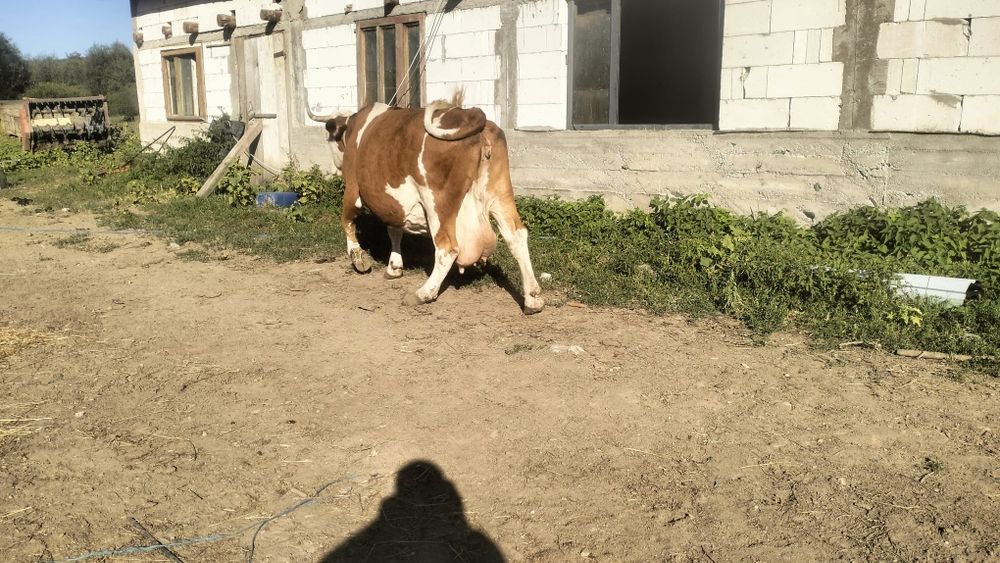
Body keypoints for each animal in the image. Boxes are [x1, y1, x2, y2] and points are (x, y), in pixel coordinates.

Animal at [307, 92, 544, 314]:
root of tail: (474, 117)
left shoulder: (352, 189)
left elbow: (347, 221)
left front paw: (358, 259)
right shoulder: (396, 203)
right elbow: (395, 230)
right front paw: (394, 267)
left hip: (437, 203)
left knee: (447, 248)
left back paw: (423, 293)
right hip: (500, 194)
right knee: (517, 236)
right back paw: (532, 298)